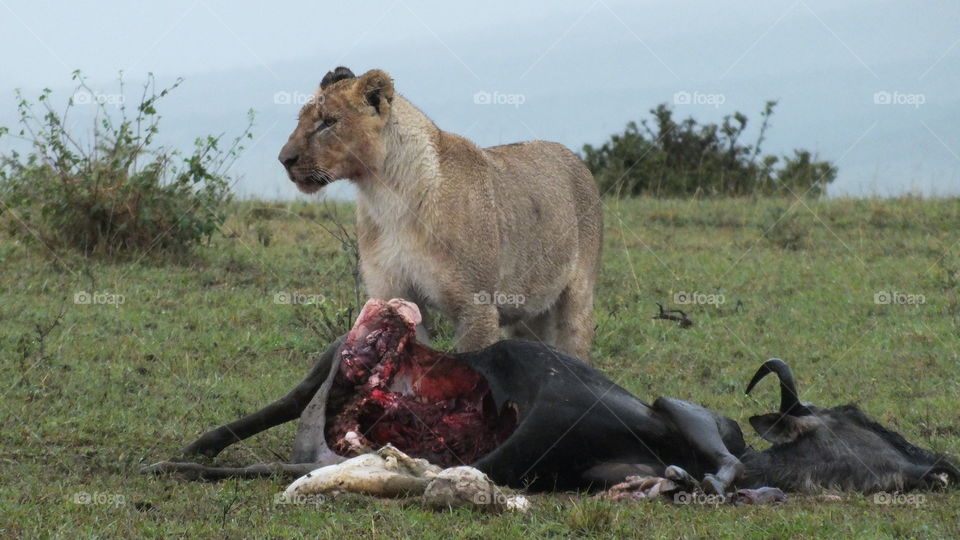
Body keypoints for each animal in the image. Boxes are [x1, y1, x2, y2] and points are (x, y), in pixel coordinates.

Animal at [278, 67, 602, 360]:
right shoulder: (393, 295)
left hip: (577, 298)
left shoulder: (476, 305)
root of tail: (575, 158)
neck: (385, 195)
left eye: (328, 122)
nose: (284, 159)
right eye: (300, 120)